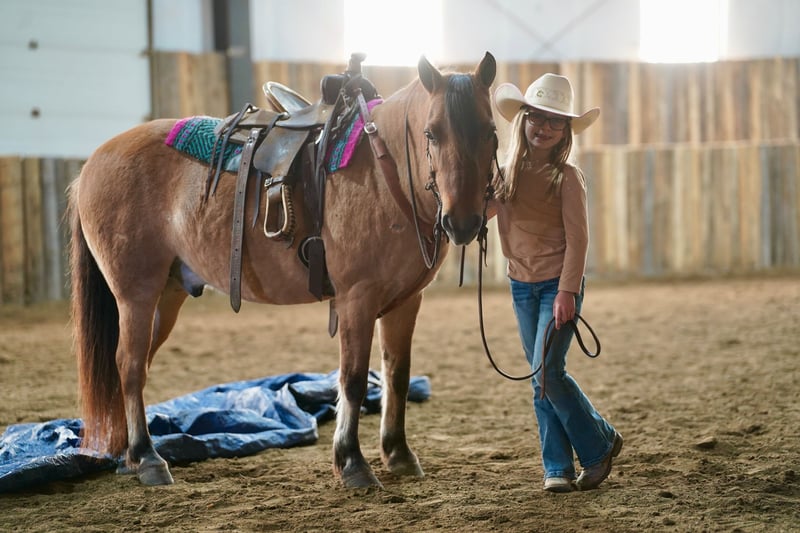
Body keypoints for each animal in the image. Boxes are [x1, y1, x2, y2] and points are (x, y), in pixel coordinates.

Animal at [68, 52, 498, 489]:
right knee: (129, 366)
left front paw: (398, 453)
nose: (462, 221)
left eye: (491, 131)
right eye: (431, 133)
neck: (384, 172)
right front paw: (352, 462)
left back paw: (129, 456)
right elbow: (353, 380)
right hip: (135, 293)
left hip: (166, 297)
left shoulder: (405, 302)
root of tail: (93, 163)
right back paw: (147, 457)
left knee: (135, 365)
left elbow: (397, 374)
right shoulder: (356, 299)